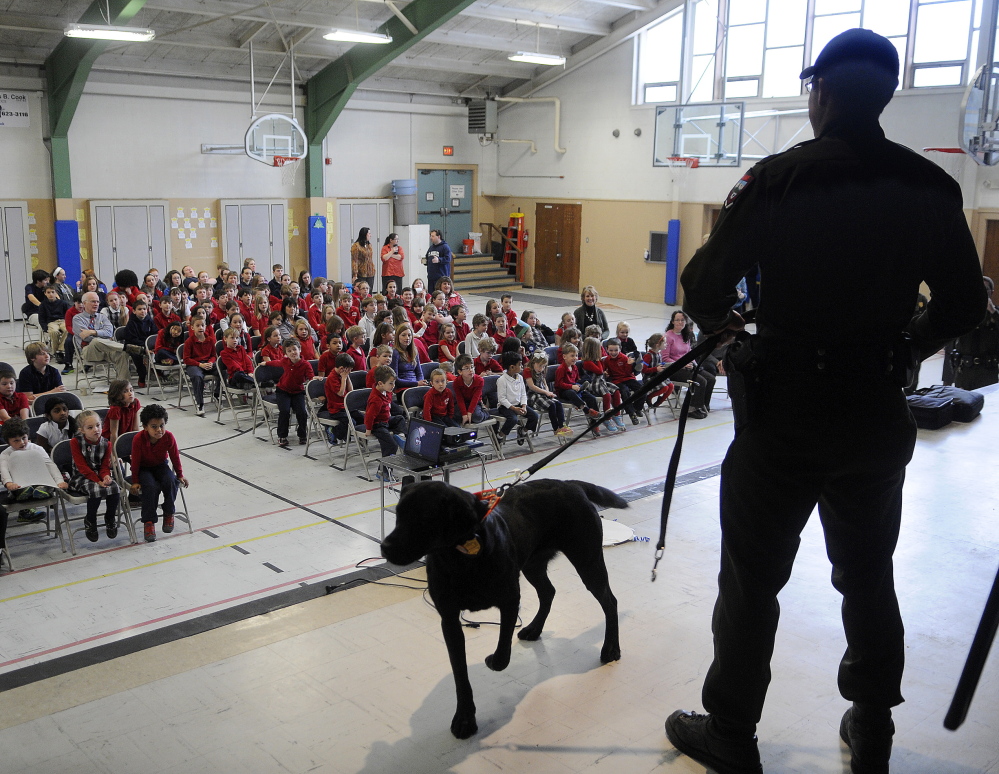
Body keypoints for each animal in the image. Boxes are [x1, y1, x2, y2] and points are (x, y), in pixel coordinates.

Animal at [380, 478, 624, 740]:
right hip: (533, 563)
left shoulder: (509, 600)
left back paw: (611, 648)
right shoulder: (449, 619)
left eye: (423, 518)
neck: (461, 558)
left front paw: (491, 660)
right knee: (548, 592)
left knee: (610, 601)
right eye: (398, 514)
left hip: (587, 559)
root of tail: (569, 484)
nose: (384, 547)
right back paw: (534, 629)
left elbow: (501, 656)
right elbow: (460, 675)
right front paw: (465, 718)